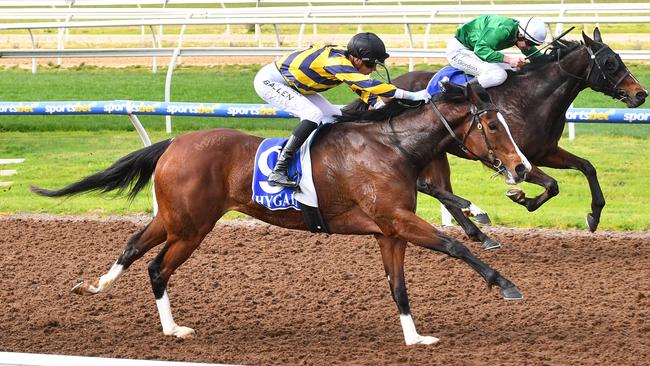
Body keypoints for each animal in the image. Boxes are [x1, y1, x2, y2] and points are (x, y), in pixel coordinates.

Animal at [31, 81, 528, 346]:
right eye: (491, 123)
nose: (521, 168)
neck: (394, 149)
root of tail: (174, 143)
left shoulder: (388, 231)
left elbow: (398, 287)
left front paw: (414, 338)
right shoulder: (398, 221)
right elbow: (452, 246)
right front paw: (505, 285)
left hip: (174, 218)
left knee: (134, 247)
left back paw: (96, 287)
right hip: (191, 227)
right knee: (157, 267)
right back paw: (173, 328)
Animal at [344, 27, 644, 246]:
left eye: (619, 59)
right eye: (610, 63)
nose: (641, 94)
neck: (533, 97)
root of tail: (385, 88)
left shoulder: (544, 152)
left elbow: (586, 167)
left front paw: (594, 214)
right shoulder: (511, 159)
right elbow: (552, 185)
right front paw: (521, 198)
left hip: (435, 151)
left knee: (439, 187)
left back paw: (478, 232)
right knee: (427, 185)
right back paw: (477, 220)